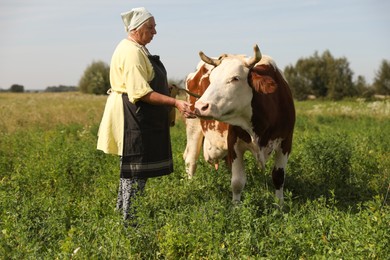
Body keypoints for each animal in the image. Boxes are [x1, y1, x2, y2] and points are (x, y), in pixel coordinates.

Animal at [195, 44, 296, 203]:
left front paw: (280, 205)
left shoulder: (286, 142)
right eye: (211, 78)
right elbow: (237, 182)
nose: (200, 106)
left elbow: (278, 177)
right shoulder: (233, 143)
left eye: (235, 78)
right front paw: (236, 206)